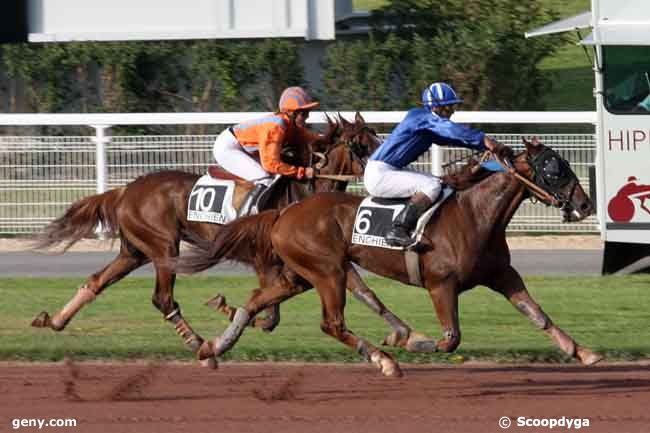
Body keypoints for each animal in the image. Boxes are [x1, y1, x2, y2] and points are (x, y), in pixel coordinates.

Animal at [30, 111, 380, 362]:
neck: (302, 192)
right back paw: (197, 342)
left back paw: (55, 320)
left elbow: (270, 314)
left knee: (96, 281)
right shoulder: (267, 260)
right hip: (163, 246)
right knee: (163, 298)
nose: (386, 162)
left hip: (134, 251)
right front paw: (227, 312)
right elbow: (268, 316)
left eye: (377, 137)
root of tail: (125, 190)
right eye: (362, 144)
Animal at [176, 138, 604, 374]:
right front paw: (409, 342)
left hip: (301, 275)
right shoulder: (441, 285)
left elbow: (537, 314)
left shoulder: (502, 274)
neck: (474, 214)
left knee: (254, 300)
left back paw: (213, 347)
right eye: (553, 168)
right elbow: (451, 339)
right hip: (328, 272)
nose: (585, 204)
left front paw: (582, 351)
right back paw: (385, 359)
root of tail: (284, 212)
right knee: (332, 323)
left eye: (565, 163)